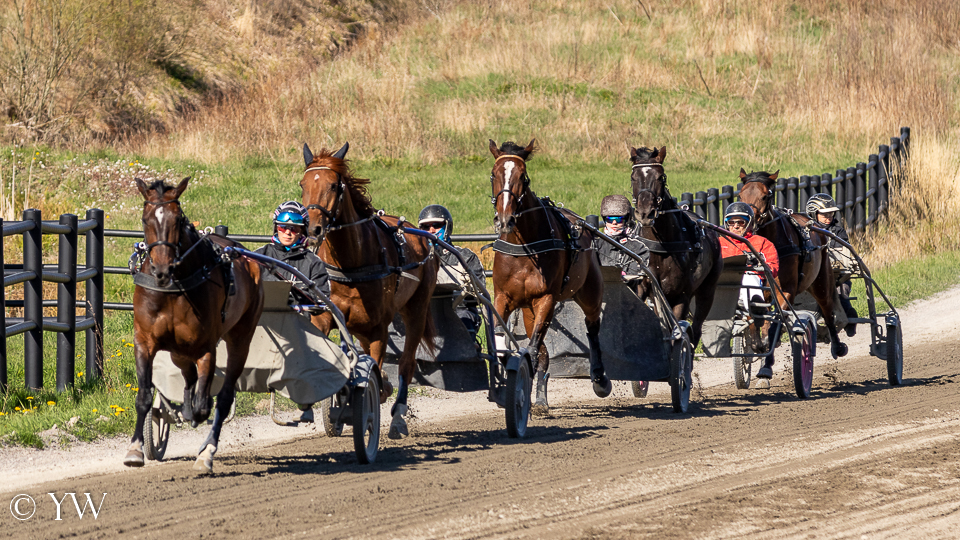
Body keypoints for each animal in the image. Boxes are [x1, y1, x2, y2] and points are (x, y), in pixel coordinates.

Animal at [125, 177, 266, 472]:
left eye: (177, 219)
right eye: (145, 218)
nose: (162, 270)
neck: (173, 288)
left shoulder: (205, 347)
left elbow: (205, 404)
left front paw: (200, 424)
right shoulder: (145, 341)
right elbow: (144, 396)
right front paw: (135, 449)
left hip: (241, 336)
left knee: (222, 396)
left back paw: (206, 450)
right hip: (178, 349)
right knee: (188, 377)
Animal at [300, 142, 438, 438]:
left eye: (333, 185)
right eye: (302, 184)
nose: (312, 228)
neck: (352, 265)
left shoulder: (378, 328)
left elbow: (377, 366)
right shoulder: (326, 318)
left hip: (417, 308)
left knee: (407, 362)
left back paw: (397, 416)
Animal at [488, 137, 608, 416]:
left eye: (523, 176)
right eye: (494, 174)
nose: (505, 219)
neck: (524, 247)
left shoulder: (546, 298)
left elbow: (532, 348)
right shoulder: (503, 297)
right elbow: (503, 342)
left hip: (589, 292)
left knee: (592, 327)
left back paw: (599, 378)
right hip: (528, 310)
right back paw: (540, 398)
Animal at [632, 144, 720, 346]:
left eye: (660, 177)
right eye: (633, 177)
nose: (645, 213)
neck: (661, 247)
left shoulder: (681, 296)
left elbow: (676, 334)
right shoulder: (646, 289)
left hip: (707, 288)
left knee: (696, 328)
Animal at [740, 169, 852, 360]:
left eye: (765, 196)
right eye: (740, 195)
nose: (747, 223)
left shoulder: (786, 289)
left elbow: (778, 315)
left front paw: (770, 341)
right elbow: (753, 310)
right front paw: (757, 343)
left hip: (821, 279)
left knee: (827, 307)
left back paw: (837, 345)